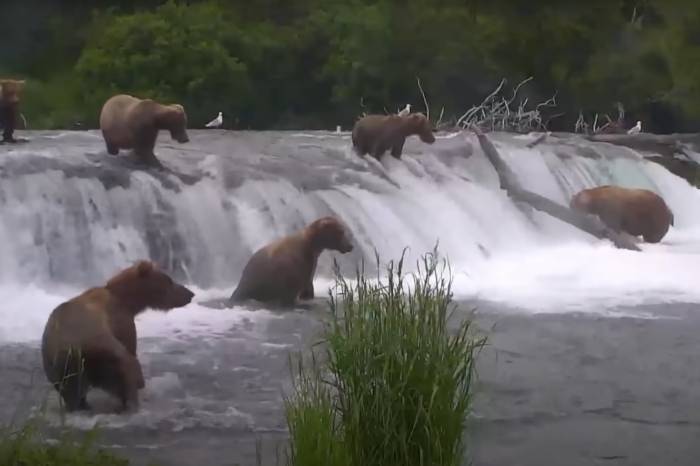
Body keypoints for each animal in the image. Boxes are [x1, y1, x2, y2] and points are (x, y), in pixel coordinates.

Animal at [41, 260, 194, 413]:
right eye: (169, 280)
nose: (190, 294)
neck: (127, 301)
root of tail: (76, 350)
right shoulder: (122, 322)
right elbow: (131, 347)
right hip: (103, 354)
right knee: (126, 370)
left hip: (60, 368)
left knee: (71, 393)